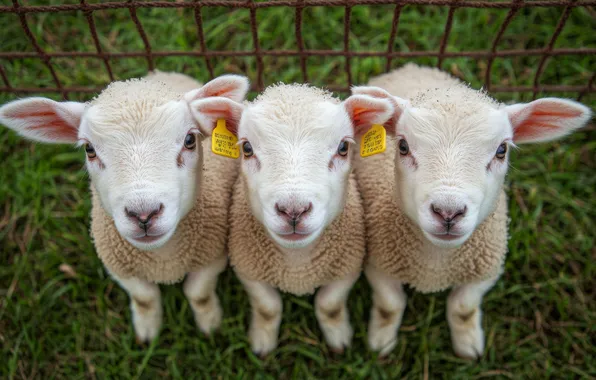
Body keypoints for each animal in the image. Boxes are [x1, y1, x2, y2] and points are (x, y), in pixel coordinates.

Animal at [0, 70, 249, 342]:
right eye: (89, 149)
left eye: (190, 140)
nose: (144, 214)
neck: (164, 259)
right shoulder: (117, 266)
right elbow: (144, 298)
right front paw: (147, 332)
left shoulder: (212, 256)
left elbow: (199, 294)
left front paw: (210, 325)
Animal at [194, 82, 396, 354]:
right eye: (246, 148)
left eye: (343, 148)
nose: (293, 211)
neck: (297, 266)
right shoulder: (248, 270)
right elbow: (267, 308)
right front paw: (262, 343)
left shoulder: (348, 268)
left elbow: (329, 305)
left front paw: (339, 339)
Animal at [354, 64, 592, 360]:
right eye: (403, 146)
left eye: (501, 150)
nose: (448, 212)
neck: (435, 264)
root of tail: (412, 67)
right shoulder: (378, 264)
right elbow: (390, 305)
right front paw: (381, 343)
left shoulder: (488, 270)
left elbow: (463, 309)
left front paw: (469, 348)